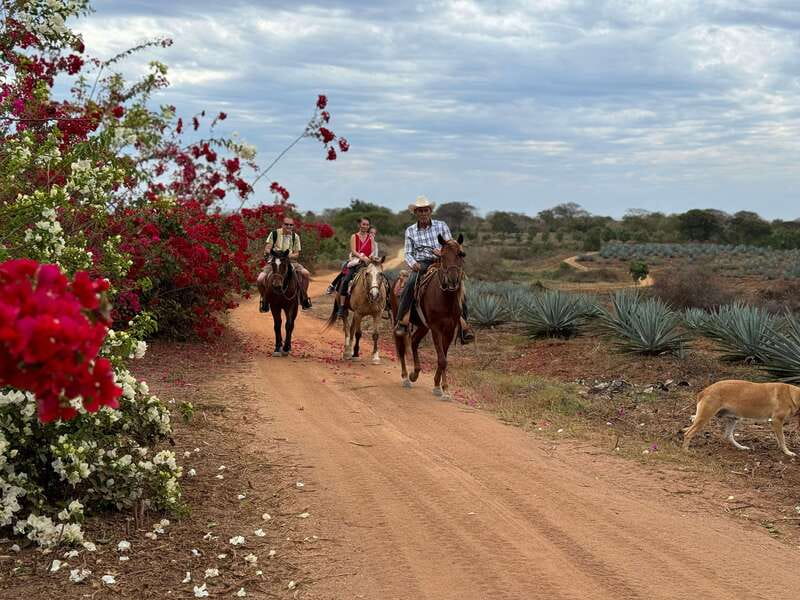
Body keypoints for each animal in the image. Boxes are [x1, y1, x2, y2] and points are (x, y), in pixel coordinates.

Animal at [393, 234, 465, 398]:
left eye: (460, 254)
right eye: (442, 256)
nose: (453, 280)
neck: (444, 298)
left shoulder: (450, 329)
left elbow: (443, 357)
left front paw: (440, 386)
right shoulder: (436, 328)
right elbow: (442, 359)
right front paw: (442, 388)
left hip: (423, 326)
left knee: (413, 341)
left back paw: (415, 374)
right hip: (399, 320)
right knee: (401, 347)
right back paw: (406, 377)